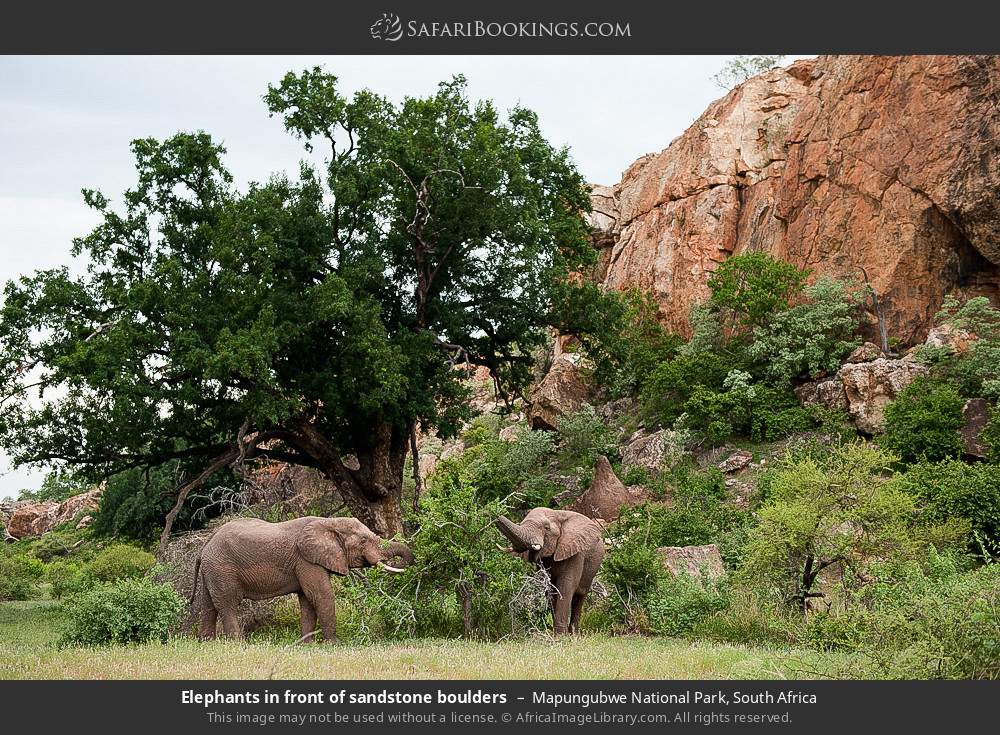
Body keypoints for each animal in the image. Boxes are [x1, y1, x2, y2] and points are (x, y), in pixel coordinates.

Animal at [190, 516, 413, 642]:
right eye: (364, 540)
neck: (328, 522)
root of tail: (206, 544)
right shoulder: (306, 559)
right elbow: (321, 595)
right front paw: (334, 644)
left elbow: (307, 600)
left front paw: (306, 644)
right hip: (222, 568)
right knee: (228, 604)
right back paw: (238, 645)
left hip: (212, 570)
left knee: (209, 605)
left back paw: (207, 643)